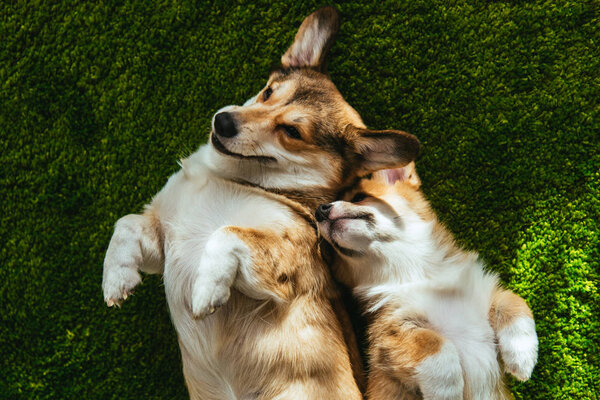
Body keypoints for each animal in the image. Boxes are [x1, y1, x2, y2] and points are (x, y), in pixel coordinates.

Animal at [102, 6, 422, 400]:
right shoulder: (162, 244)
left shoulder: (278, 268)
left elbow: (228, 233)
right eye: (268, 92)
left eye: (292, 132)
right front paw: (116, 280)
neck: (234, 178)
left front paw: (207, 290)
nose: (222, 121)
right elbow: (126, 223)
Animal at [314, 163, 540, 400]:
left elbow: (513, 302)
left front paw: (522, 354)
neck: (417, 273)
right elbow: (433, 343)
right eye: (332, 250)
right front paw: (446, 389)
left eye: (359, 197)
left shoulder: (486, 290)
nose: (319, 210)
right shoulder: (390, 333)